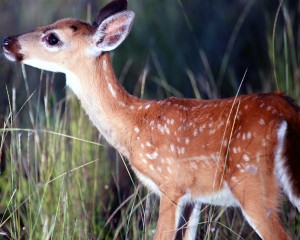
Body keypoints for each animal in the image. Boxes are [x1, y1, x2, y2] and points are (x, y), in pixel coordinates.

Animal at [2, 0, 300, 239]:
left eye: (52, 38)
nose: (7, 41)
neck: (133, 123)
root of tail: (287, 111)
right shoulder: (195, 197)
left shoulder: (171, 184)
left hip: (253, 183)